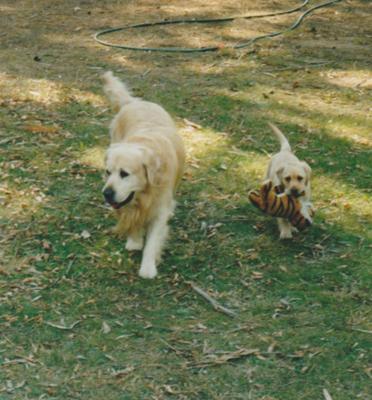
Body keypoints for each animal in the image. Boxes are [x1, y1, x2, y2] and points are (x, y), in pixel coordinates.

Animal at [101, 72, 185, 278]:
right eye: (108, 172)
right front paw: (134, 241)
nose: (106, 194)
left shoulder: (161, 209)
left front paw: (147, 267)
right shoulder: (131, 203)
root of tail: (132, 102)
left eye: (124, 173)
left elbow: (153, 241)